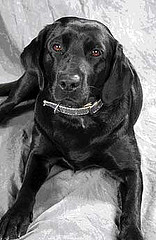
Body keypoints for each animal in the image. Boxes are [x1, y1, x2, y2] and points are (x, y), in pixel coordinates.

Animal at [0, 16, 143, 238]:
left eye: (96, 52)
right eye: (56, 46)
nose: (68, 83)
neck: (77, 117)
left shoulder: (131, 167)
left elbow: (132, 204)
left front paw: (133, 233)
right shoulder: (38, 154)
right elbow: (26, 187)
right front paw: (15, 216)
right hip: (30, 79)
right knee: (8, 104)